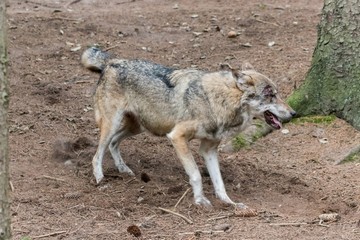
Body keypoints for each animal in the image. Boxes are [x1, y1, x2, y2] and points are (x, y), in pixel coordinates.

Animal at [81, 47, 296, 208]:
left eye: (277, 93)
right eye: (270, 95)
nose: (294, 113)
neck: (216, 101)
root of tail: (111, 61)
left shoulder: (209, 149)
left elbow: (219, 182)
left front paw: (230, 203)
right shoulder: (177, 137)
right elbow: (196, 175)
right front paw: (200, 201)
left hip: (138, 127)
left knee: (114, 144)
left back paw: (124, 169)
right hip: (113, 125)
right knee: (97, 155)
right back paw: (101, 180)